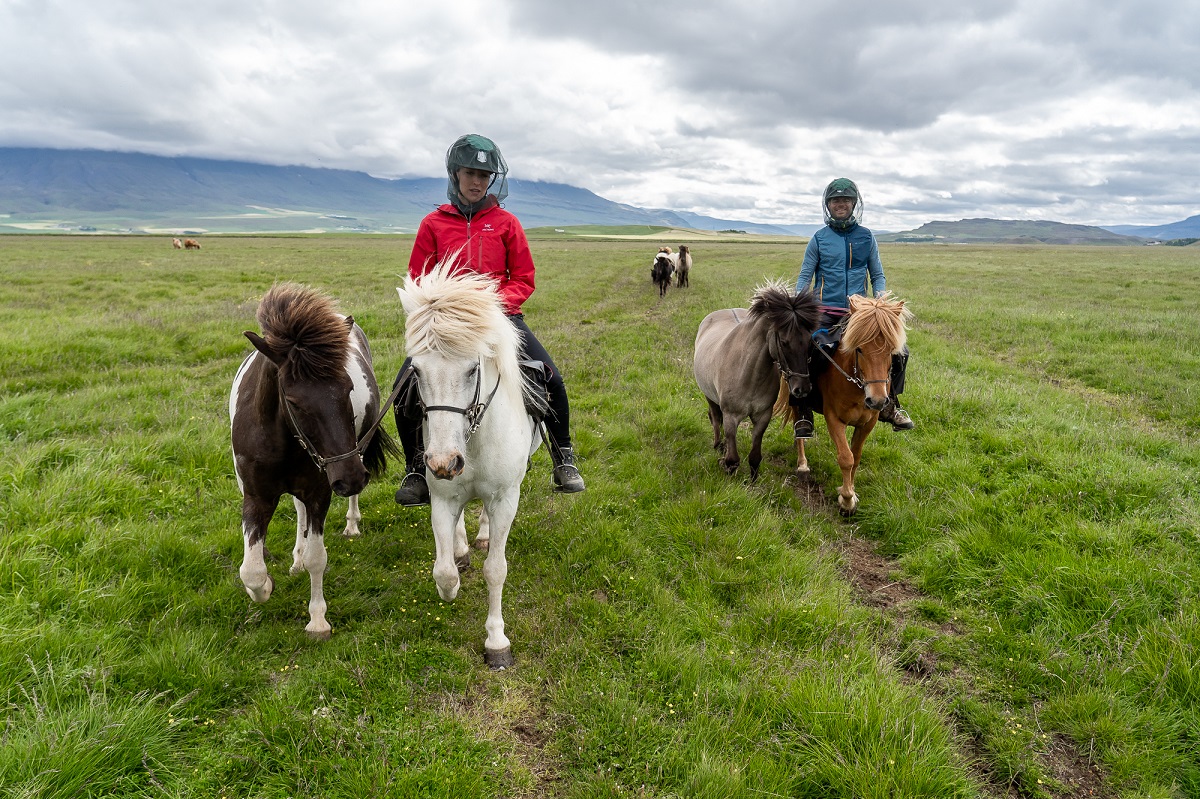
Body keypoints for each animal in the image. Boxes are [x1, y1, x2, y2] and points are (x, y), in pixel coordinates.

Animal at [231, 283, 400, 638]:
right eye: (294, 401)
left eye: (348, 388)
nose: (350, 478)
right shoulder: (255, 496)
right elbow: (251, 570)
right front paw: (266, 586)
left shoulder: (321, 492)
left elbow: (317, 558)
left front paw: (318, 619)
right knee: (298, 512)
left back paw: (351, 525)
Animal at [393, 261, 544, 667]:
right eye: (416, 372)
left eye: (473, 369)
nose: (444, 461)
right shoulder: (442, 497)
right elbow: (442, 570)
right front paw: (452, 585)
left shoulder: (506, 498)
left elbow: (496, 569)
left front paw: (497, 642)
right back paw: (461, 547)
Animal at [777, 289, 907, 513]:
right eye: (860, 349)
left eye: (891, 350)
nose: (877, 400)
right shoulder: (834, 419)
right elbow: (846, 458)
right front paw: (846, 500)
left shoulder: (867, 423)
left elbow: (856, 456)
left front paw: (852, 492)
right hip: (797, 390)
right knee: (798, 422)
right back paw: (802, 463)